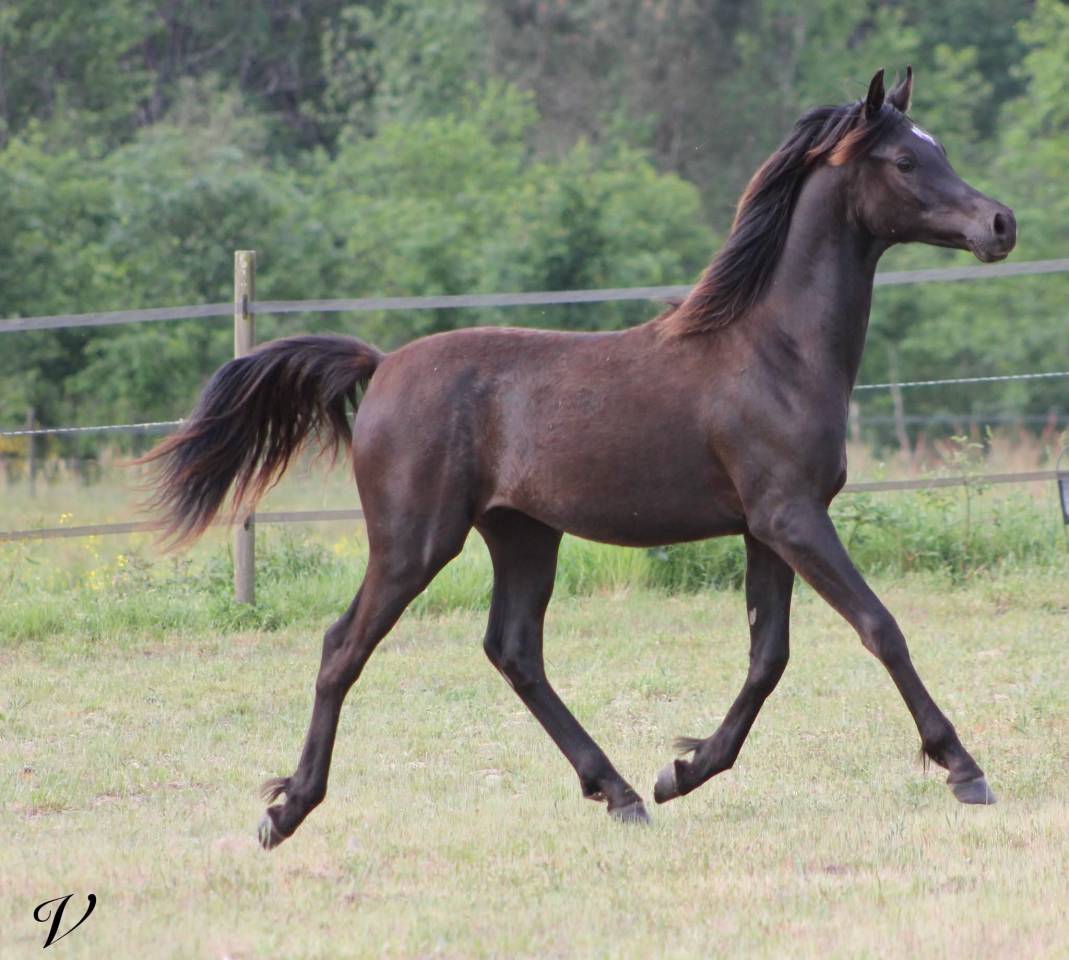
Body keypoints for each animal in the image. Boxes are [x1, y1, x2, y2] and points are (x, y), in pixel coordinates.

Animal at [141, 68, 1017, 849]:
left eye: (937, 147)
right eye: (904, 160)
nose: (999, 223)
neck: (774, 350)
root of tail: (381, 366)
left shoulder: (766, 528)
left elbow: (767, 657)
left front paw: (682, 770)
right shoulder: (790, 518)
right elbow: (879, 626)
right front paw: (962, 768)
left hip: (522, 534)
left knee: (513, 651)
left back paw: (620, 792)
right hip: (414, 542)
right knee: (341, 648)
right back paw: (286, 811)